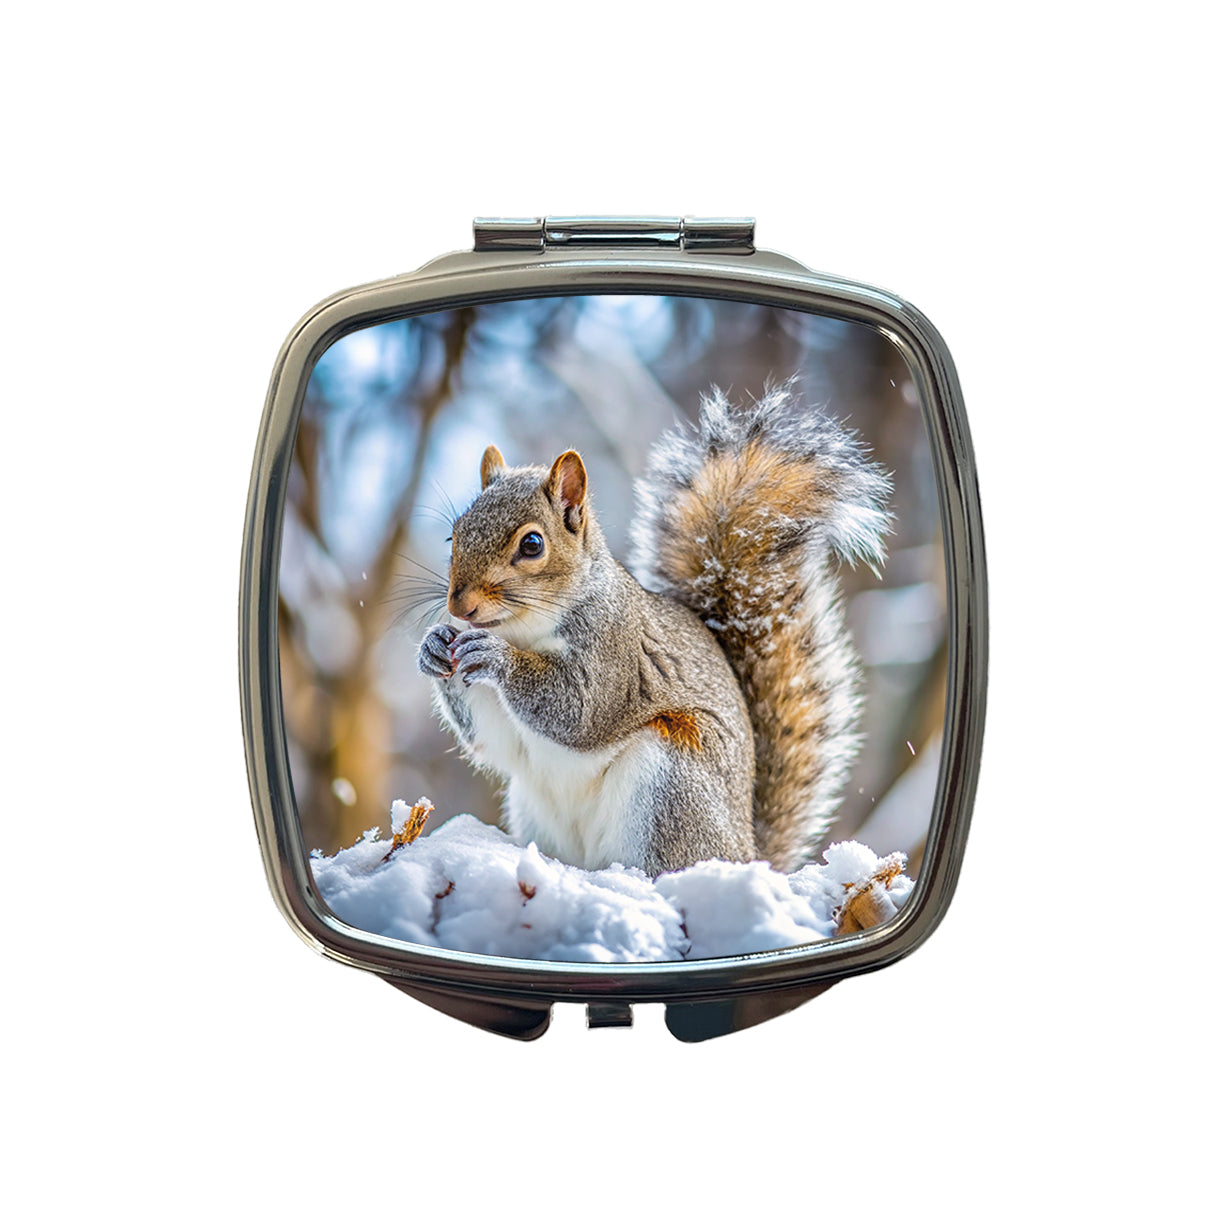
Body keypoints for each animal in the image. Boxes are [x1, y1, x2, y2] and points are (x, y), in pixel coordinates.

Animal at [417, 382, 892, 876]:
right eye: (454, 535)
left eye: (532, 544)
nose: (459, 606)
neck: (522, 630)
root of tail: (748, 855)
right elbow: (492, 741)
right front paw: (434, 646)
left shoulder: (615, 652)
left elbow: (579, 710)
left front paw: (496, 658)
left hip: (672, 781)